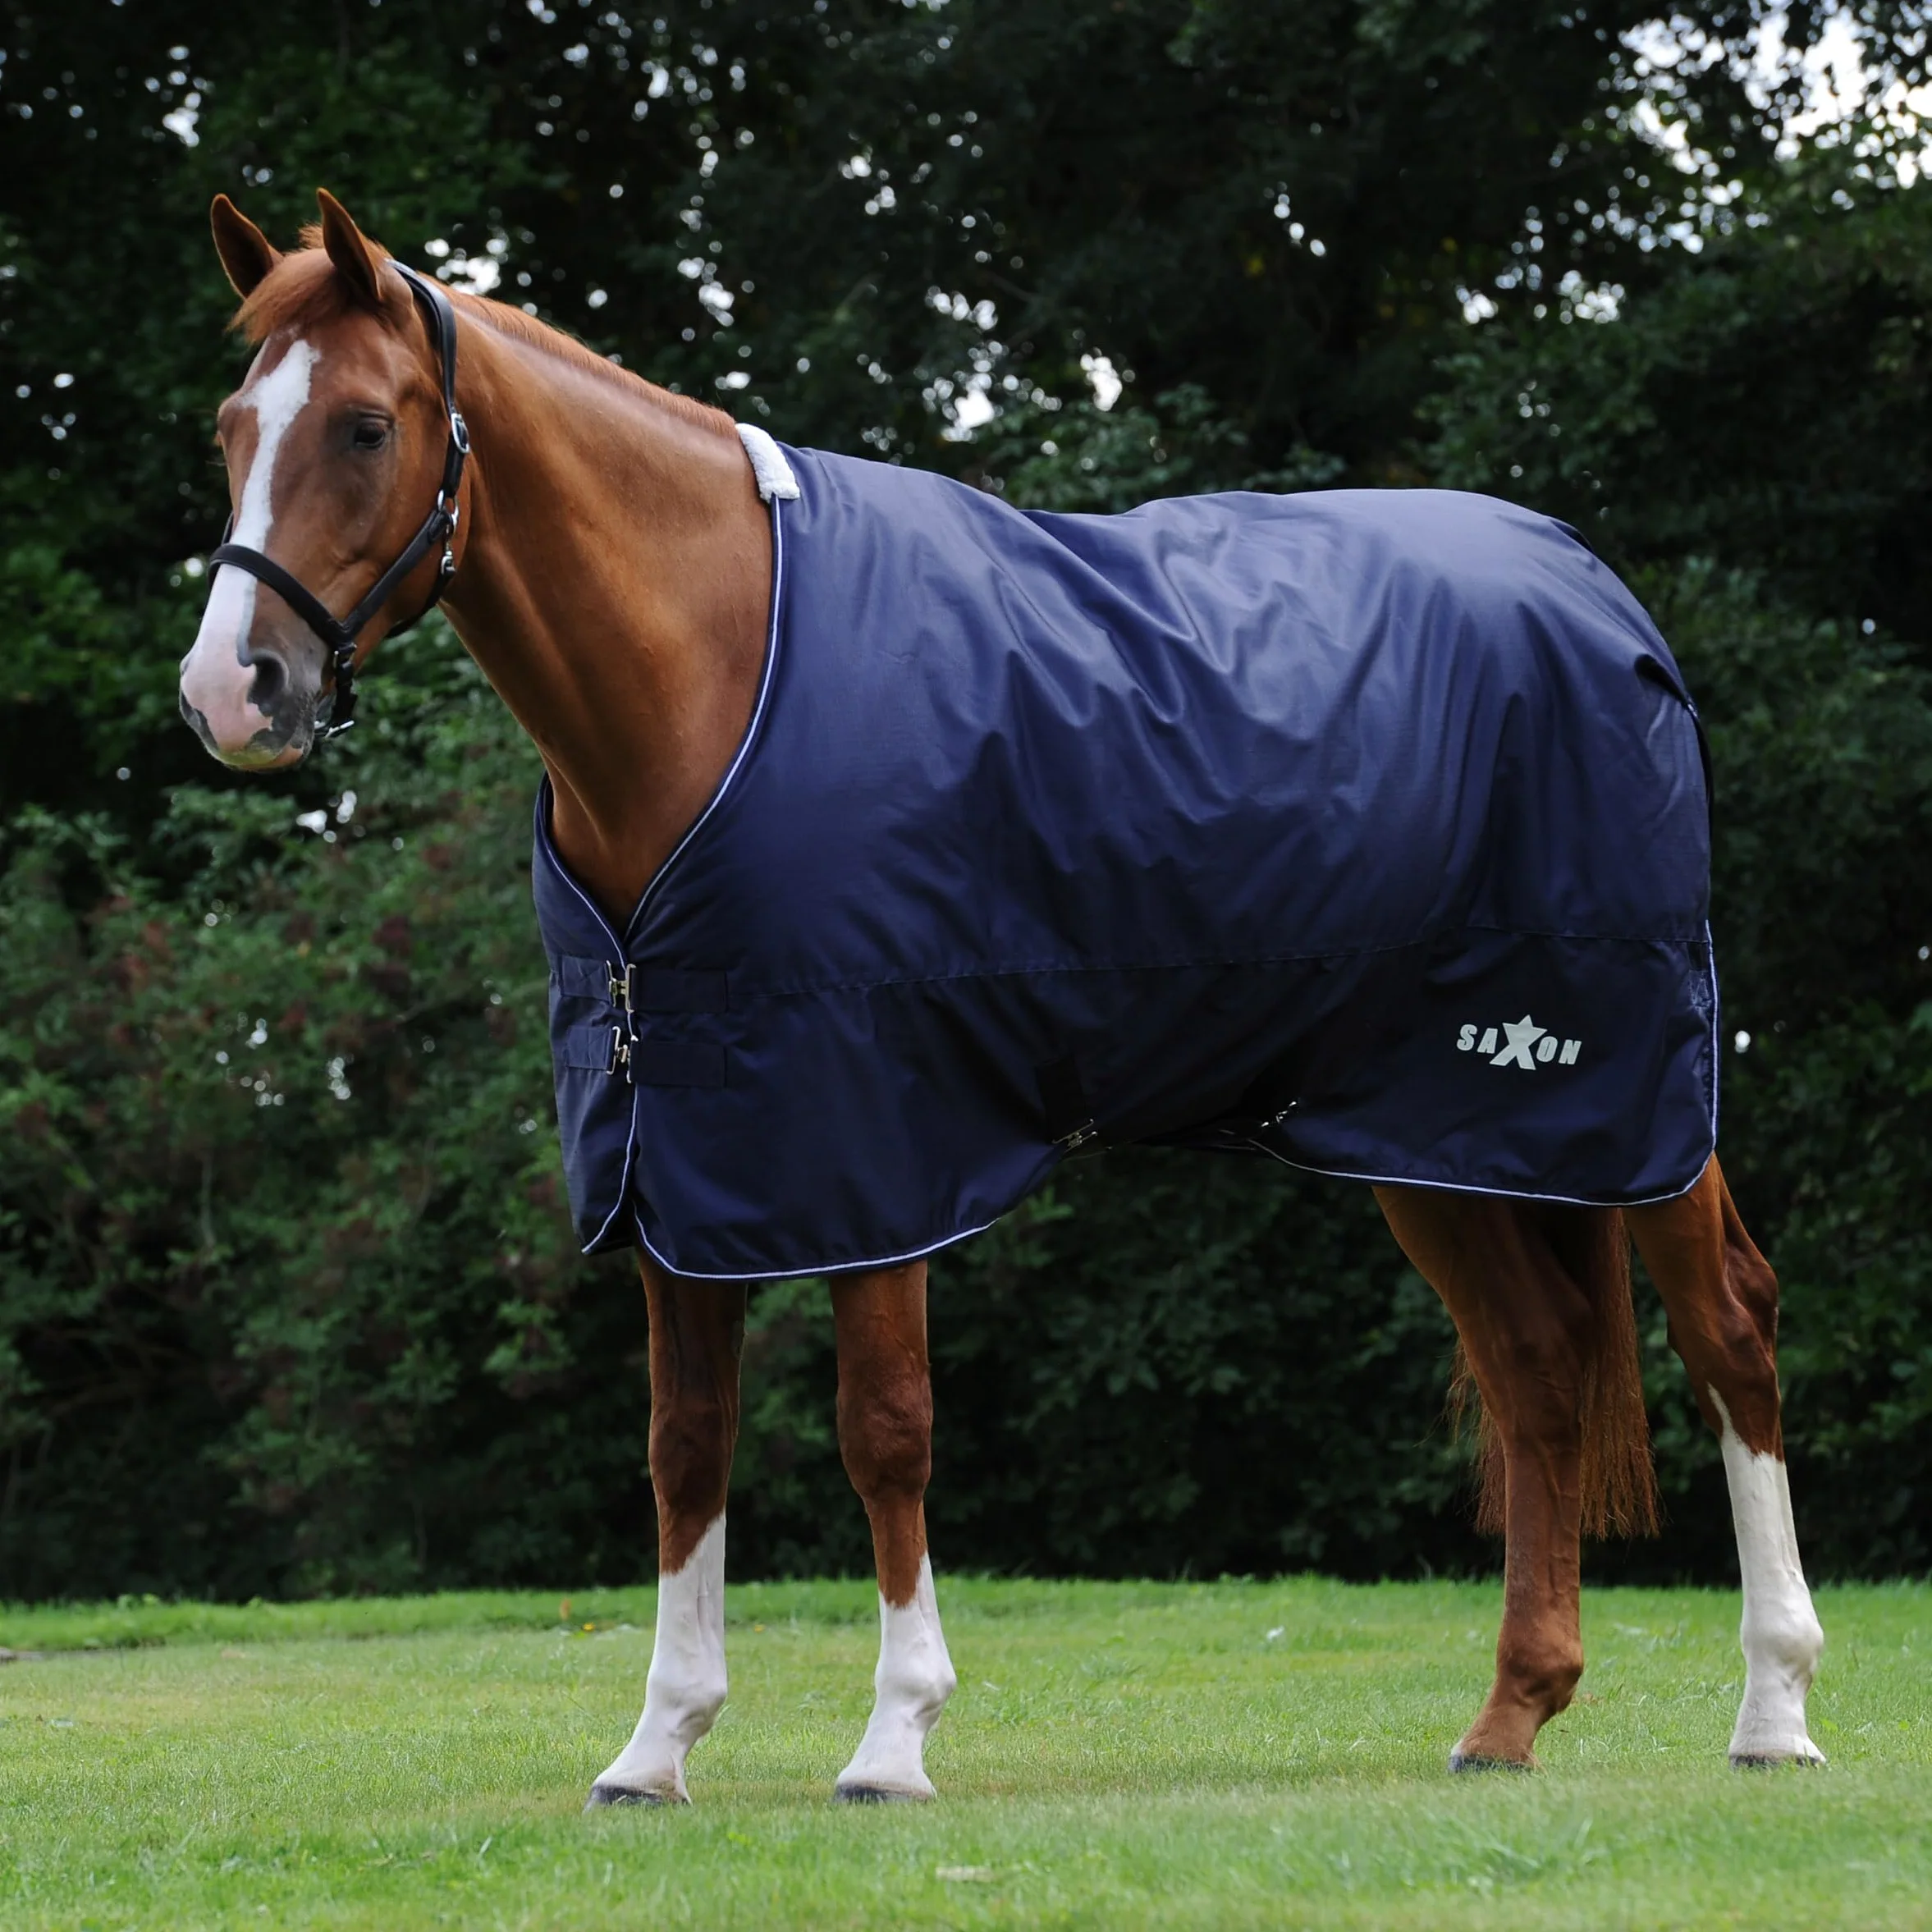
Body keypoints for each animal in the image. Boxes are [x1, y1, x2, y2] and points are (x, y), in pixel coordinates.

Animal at [178, 188, 1826, 1807]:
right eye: (231, 427)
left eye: (366, 428)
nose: (229, 690)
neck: (715, 672)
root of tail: (1587, 585)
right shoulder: (677, 1151)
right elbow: (684, 1442)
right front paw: (656, 1744)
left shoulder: (871, 1139)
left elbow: (884, 1428)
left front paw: (892, 1735)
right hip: (1432, 1131)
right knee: (1535, 1367)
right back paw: (1508, 1714)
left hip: (1623, 1086)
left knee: (1724, 1324)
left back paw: (1771, 1708)